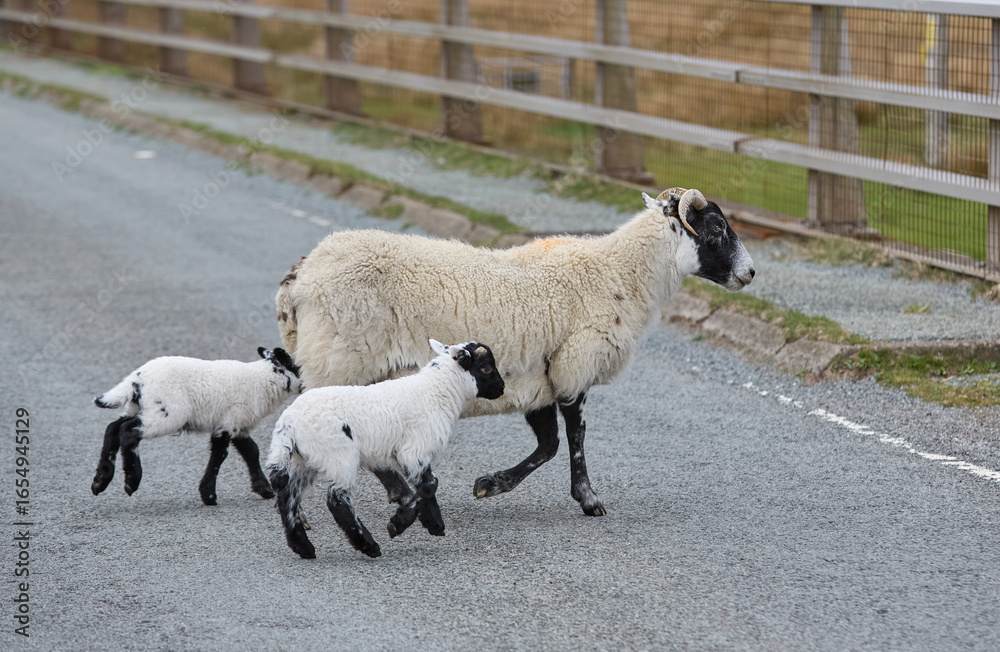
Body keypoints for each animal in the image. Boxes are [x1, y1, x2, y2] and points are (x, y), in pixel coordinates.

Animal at [91, 347, 302, 504]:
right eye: (298, 366)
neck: (264, 380)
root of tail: (136, 379)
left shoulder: (236, 422)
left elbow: (251, 451)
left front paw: (264, 488)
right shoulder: (230, 421)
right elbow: (220, 454)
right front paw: (208, 495)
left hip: (137, 407)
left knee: (113, 428)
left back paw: (100, 480)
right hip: (167, 413)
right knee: (128, 431)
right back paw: (131, 480)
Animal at [264, 339, 504, 559]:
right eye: (486, 368)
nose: (501, 389)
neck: (436, 392)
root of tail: (287, 423)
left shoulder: (412, 455)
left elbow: (425, 485)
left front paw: (434, 523)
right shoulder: (413, 450)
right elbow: (429, 485)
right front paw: (399, 524)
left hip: (303, 460)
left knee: (287, 497)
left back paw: (303, 547)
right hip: (337, 456)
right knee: (337, 501)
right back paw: (368, 545)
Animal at [274, 187, 755, 517]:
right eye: (716, 228)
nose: (750, 273)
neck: (620, 273)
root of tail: (300, 278)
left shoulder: (539, 377)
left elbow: (549, 444)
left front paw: (490, 485)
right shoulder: (574, 363)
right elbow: (574, 439)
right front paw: (588, 499)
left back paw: (398, 491)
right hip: (338, 360)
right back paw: (401, 491)